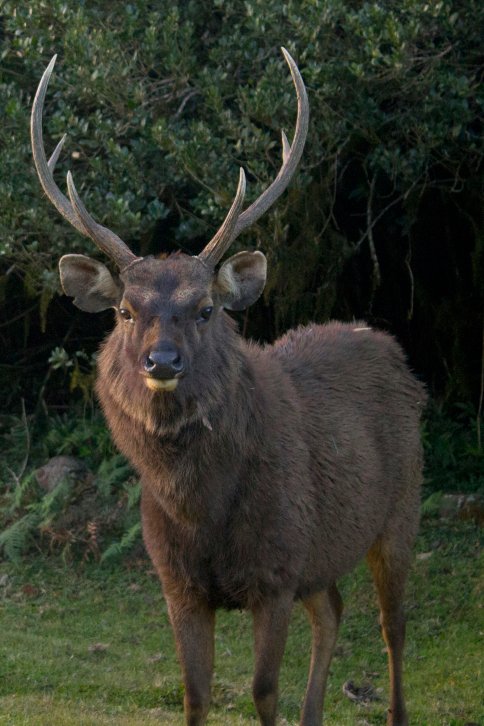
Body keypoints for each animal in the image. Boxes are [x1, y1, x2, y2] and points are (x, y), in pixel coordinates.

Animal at [31, 49, 426, 726]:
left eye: (206, 309)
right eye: (125, 311)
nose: (162, 361)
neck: (202, 512)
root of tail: (392, 351)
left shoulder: (277, 569)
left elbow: (263, 691)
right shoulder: (179, 583)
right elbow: (195, 694)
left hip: (403, 506)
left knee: (391, 627)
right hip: (323, 554)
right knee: (332, 610)